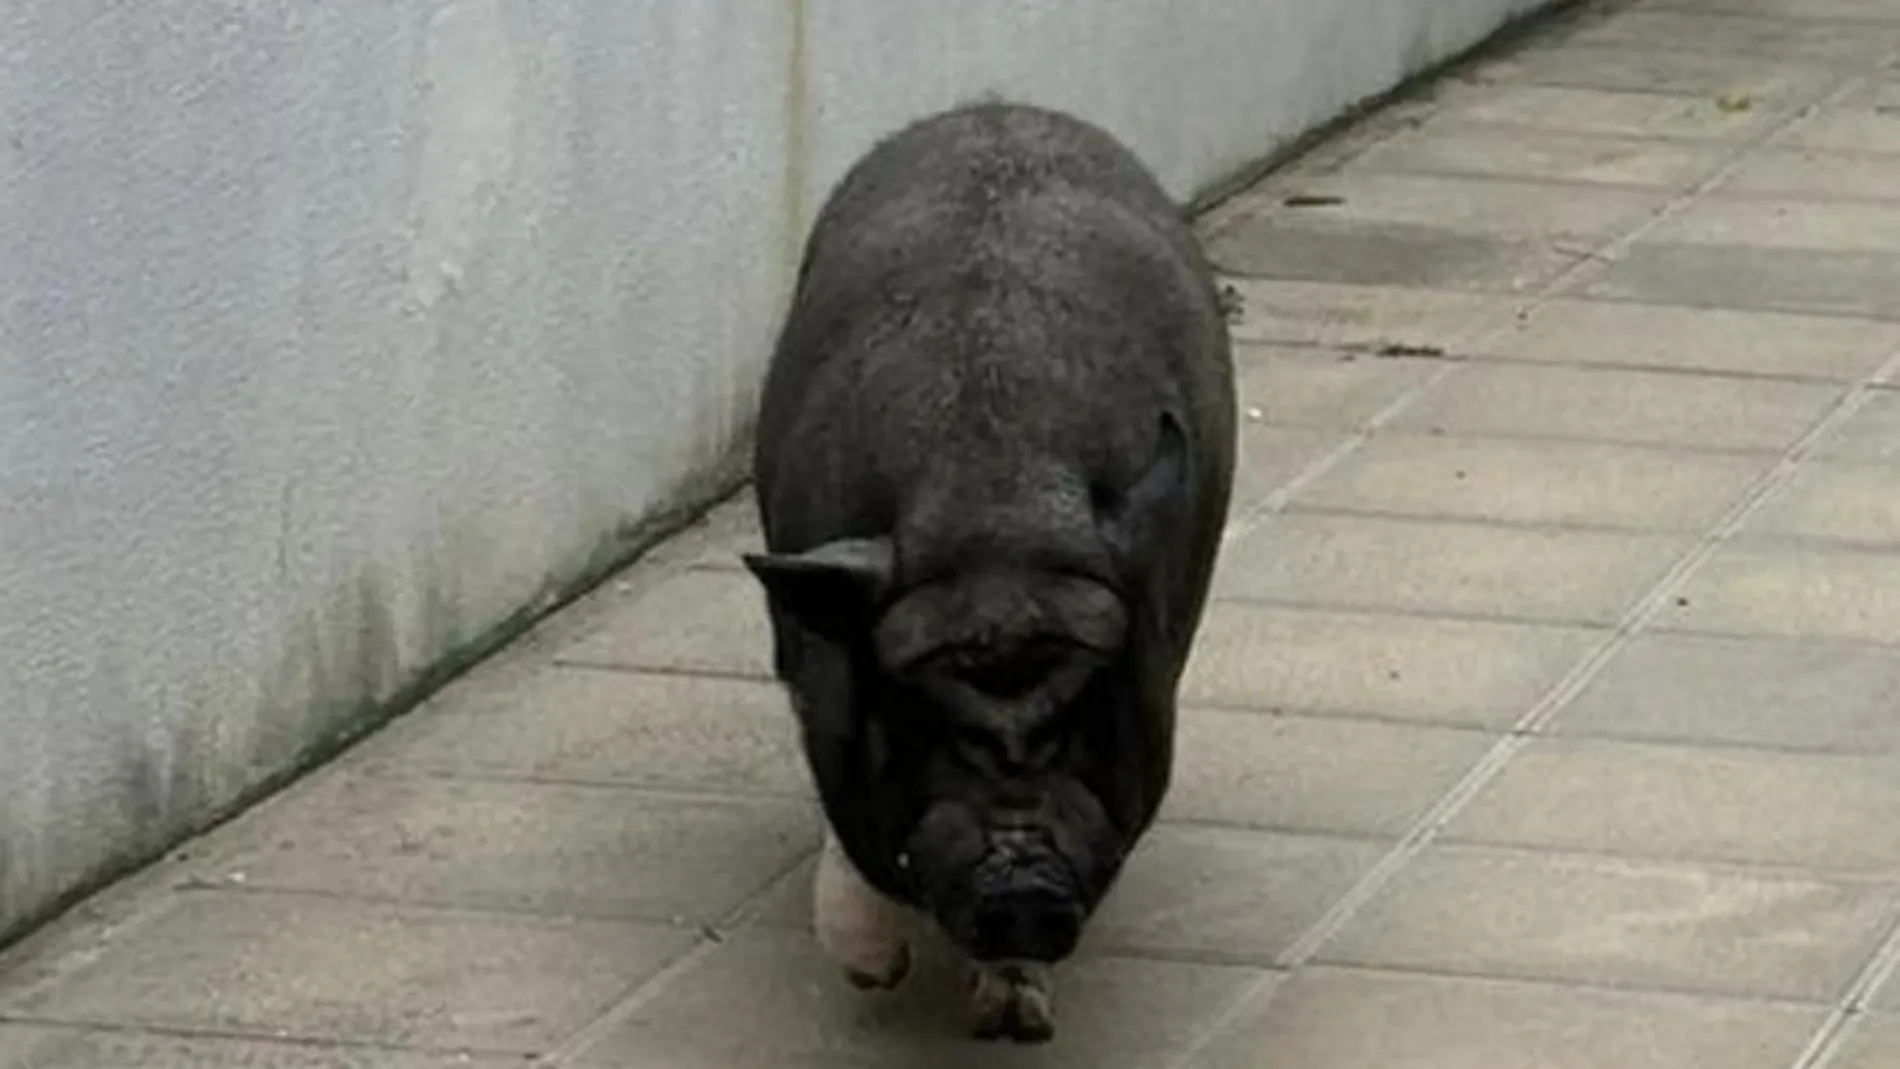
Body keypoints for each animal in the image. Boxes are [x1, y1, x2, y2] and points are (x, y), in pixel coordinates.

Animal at [743, 100, 1236, 1043]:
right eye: (922, 718)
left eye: (1090, 714)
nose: (1020, 884)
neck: (998, 530)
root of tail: (996, 106)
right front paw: (873, 972)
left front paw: (1016, 1020)